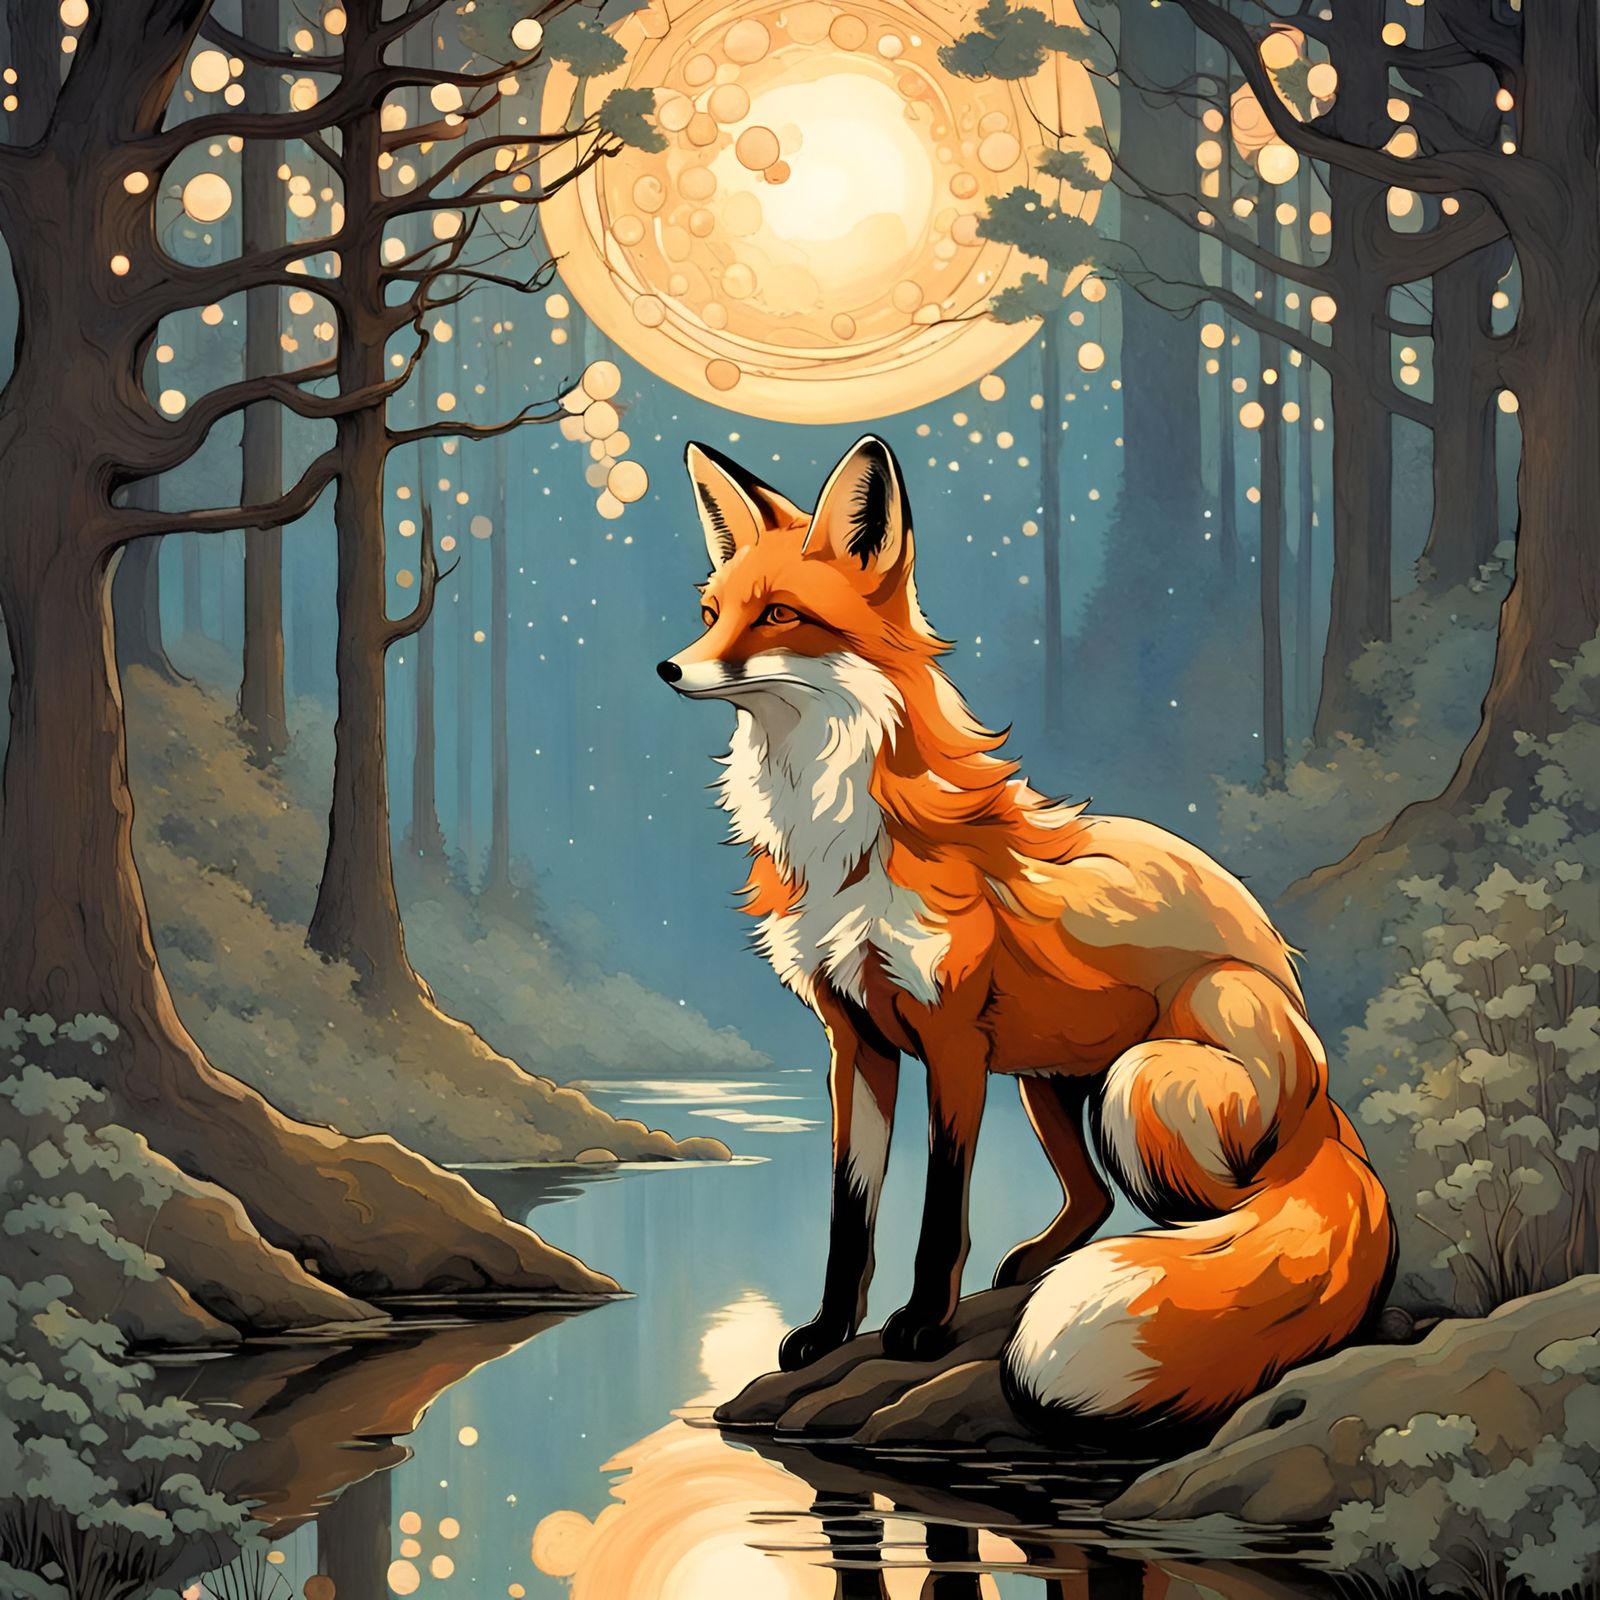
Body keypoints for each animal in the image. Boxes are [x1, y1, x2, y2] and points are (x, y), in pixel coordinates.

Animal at [657, 433, 1395, 1431]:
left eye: (776, 615)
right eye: (711, 613)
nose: (670, 668)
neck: (840, 842)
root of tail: (1326, 1101)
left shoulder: (952, 1040)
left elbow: (939, 1212)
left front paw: (922, 1327)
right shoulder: (856, 1043)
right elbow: (850, 1215)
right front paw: (827, 1330)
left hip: (1142, 1079)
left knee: (1219, 1209)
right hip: (1049, 1084)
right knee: (1091, 1199)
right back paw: (1040, 1261)